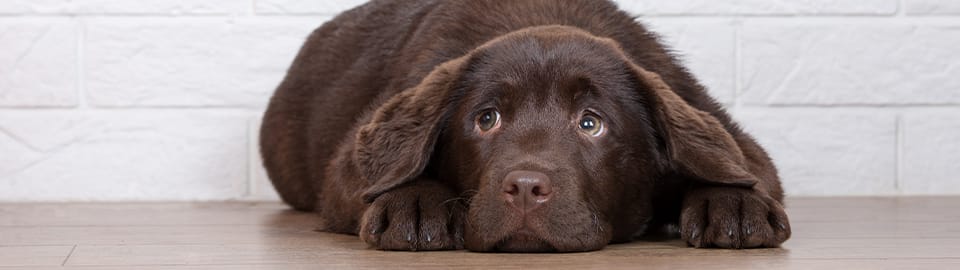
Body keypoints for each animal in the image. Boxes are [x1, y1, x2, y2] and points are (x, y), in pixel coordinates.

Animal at [260, 0, 788, 253]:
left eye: (591, 123)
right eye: (486, 119)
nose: (526, 188)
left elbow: (742, 168)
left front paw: (735, 205)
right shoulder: (352, 158)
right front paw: (415, 205)